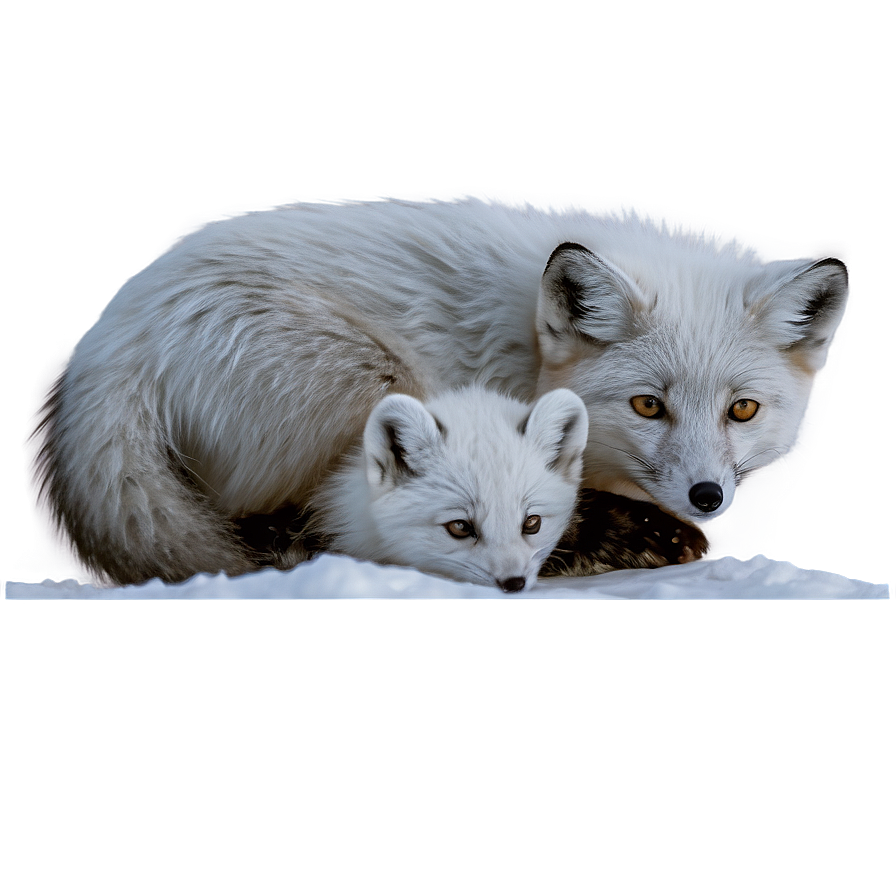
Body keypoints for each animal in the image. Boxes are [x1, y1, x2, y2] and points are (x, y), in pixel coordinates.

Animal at [31, 197, 847, 586]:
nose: (708, 496)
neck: (523, 347)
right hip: (376, 381)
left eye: (743, 409)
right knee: (331, 532)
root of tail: (112, 344)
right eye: (649, 405)